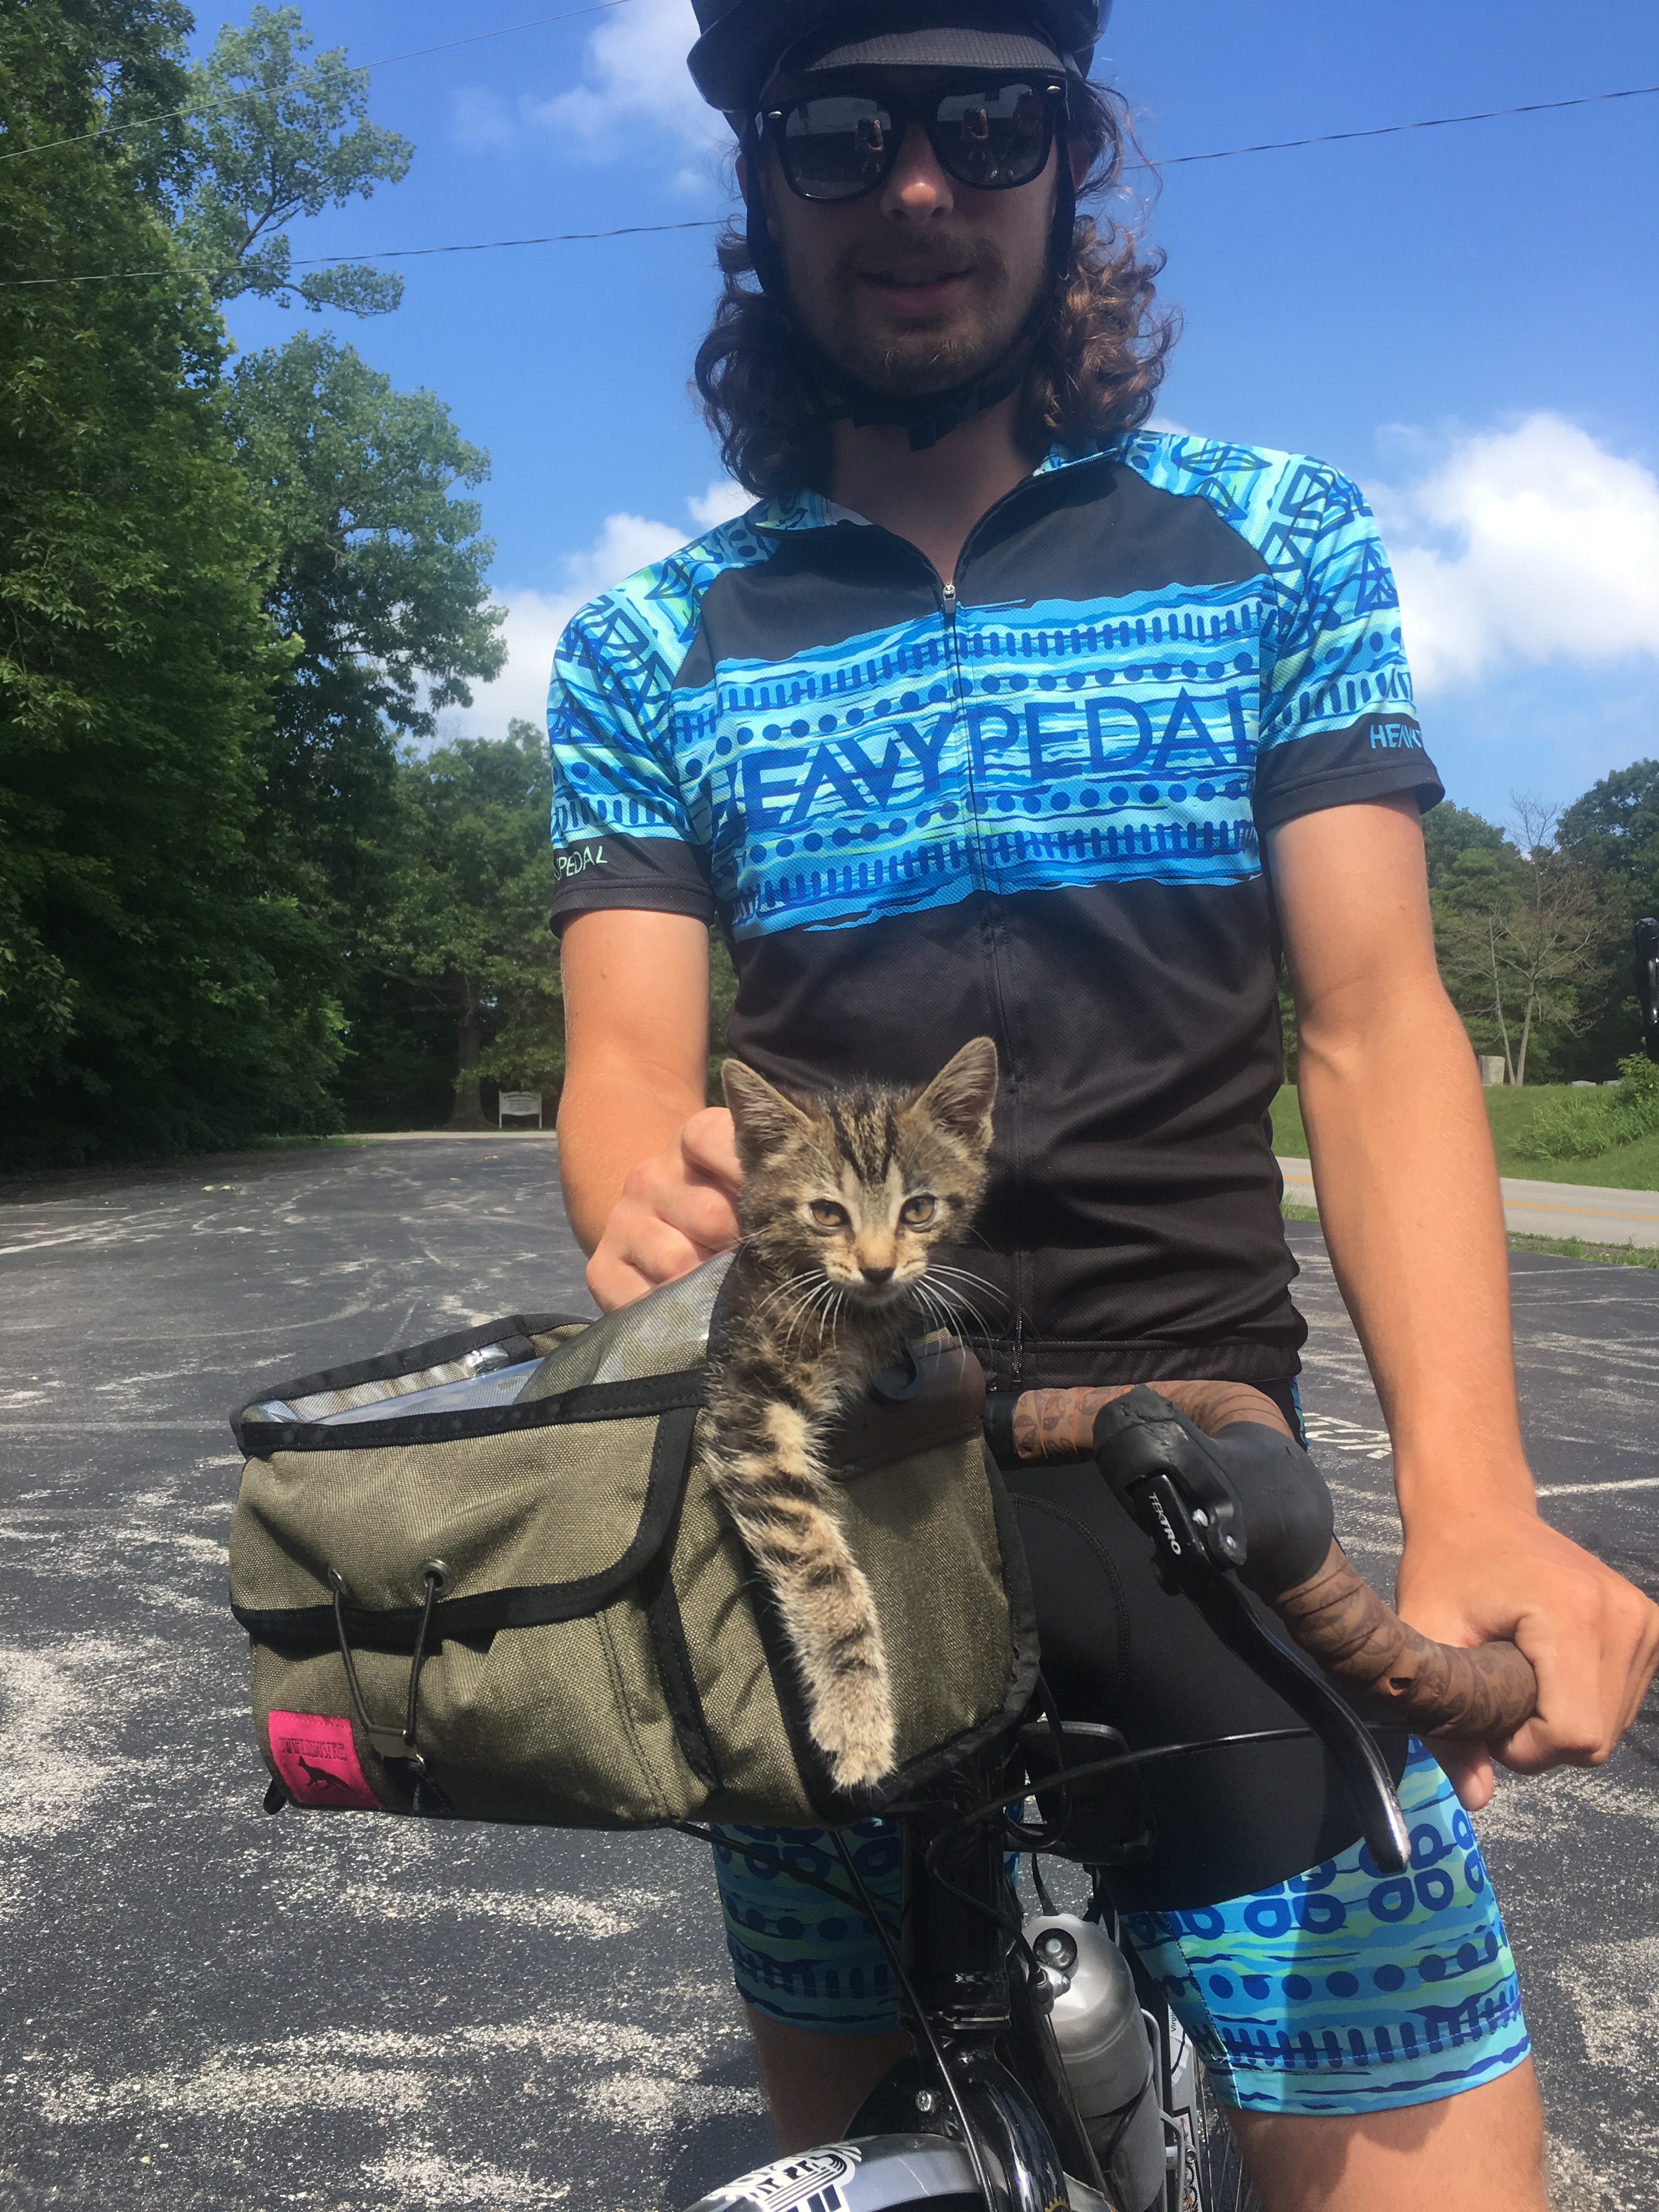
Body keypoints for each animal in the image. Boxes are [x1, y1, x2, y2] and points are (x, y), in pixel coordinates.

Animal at [704, 1035, 999, 1793]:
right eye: (828, 1214)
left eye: (919, 1210)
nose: (877, 1268)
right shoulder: (748, 1413)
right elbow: (818, 1563)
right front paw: (856, 1715)